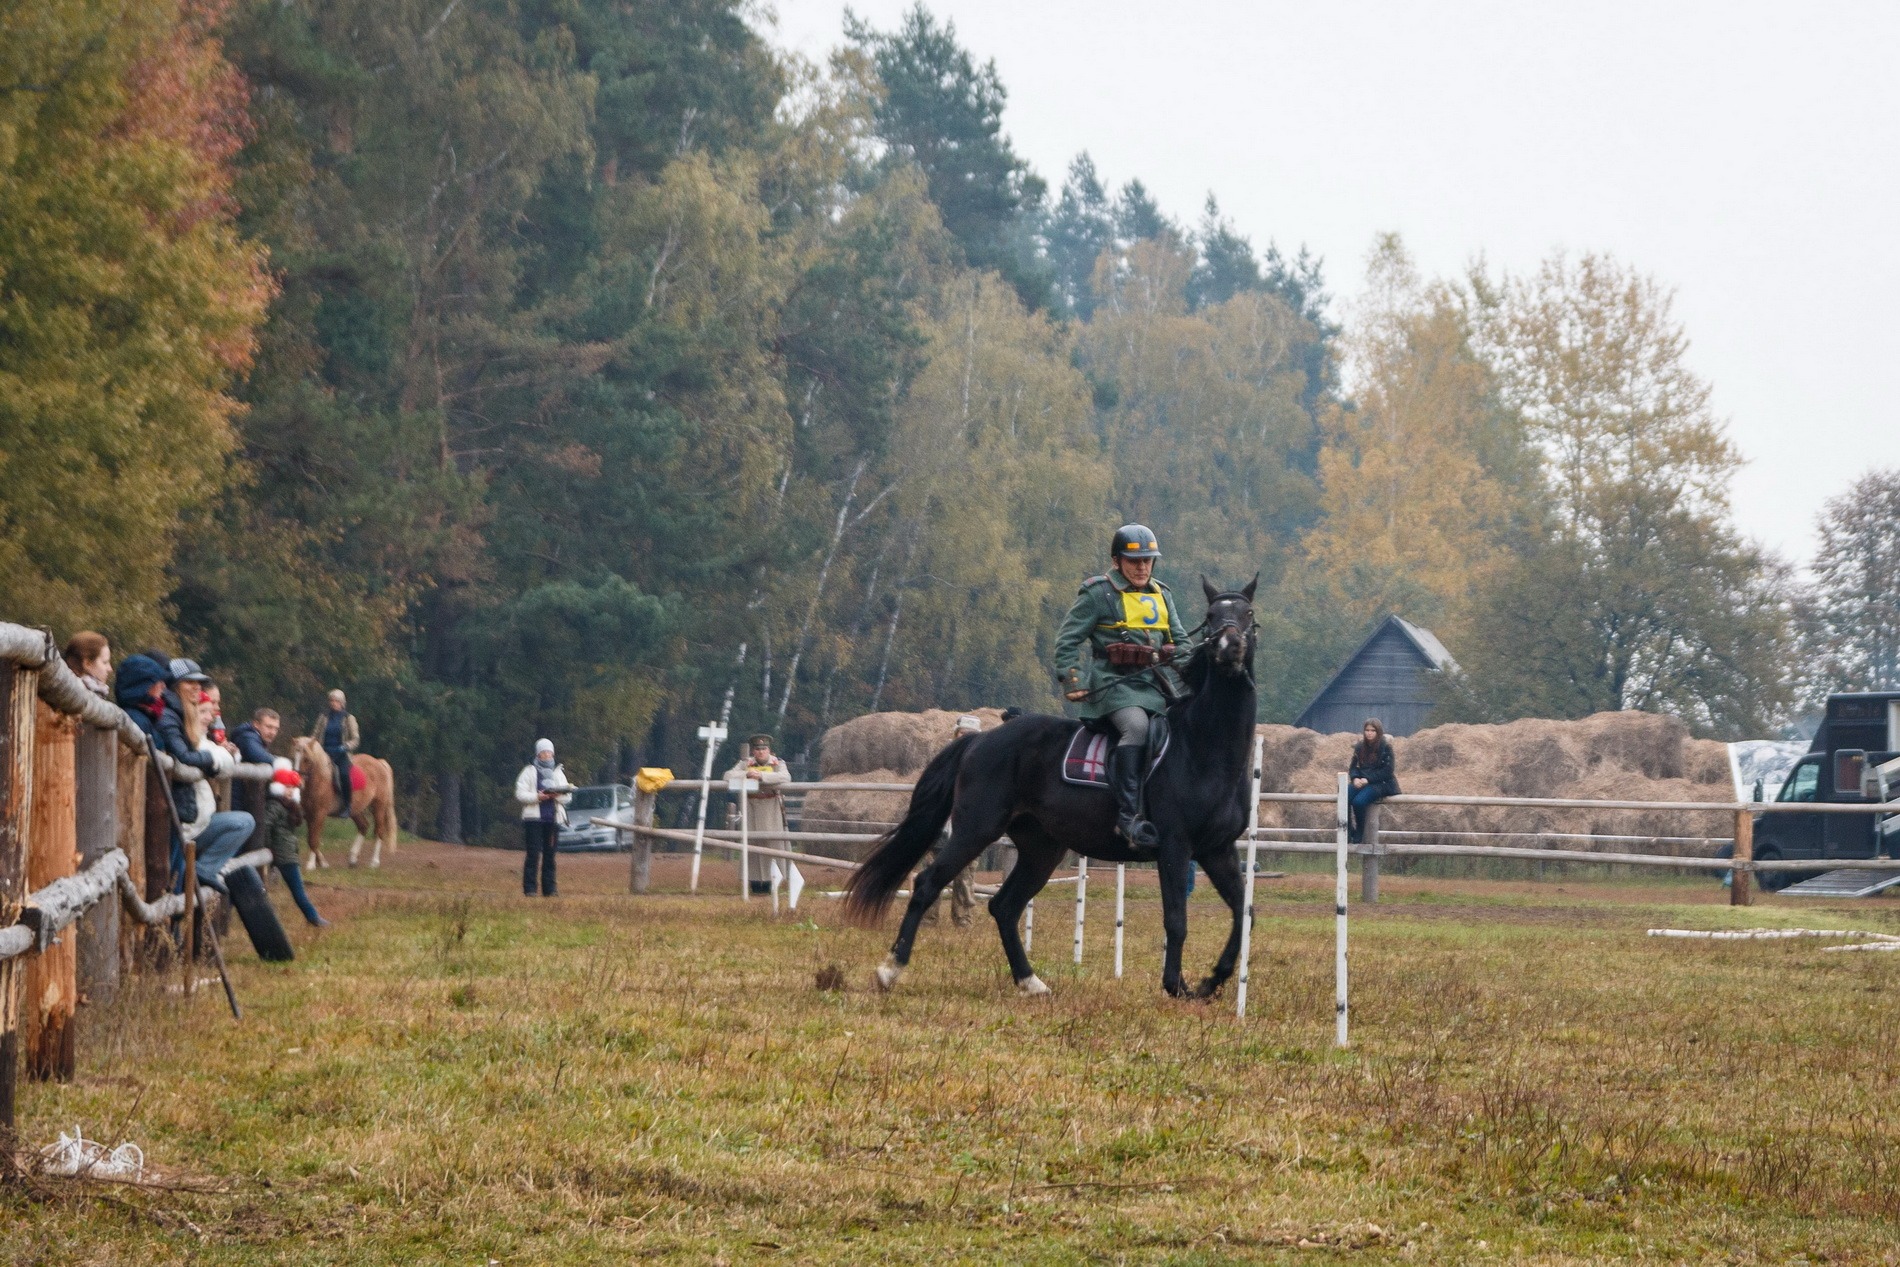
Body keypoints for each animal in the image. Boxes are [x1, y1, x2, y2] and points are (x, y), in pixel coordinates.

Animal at [290, 737, 399, 866]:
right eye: (293, 758)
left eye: (307, 759)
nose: (298, 783)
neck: (319, 780)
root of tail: (379, 762)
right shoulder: (308, 814)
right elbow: (310, 838)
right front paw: (322, 863)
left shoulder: (319, 814)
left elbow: (313, 839)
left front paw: (311, 864)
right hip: (355, 809)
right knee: (363, 826)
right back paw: (352, 858)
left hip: (378, 806)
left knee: (379, 831)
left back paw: (374, 862)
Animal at [847, 577, 1261, 1002]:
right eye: (1211, 615)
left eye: (1247, 613)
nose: (1230, 646)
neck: (1203, 747)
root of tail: (981, 740)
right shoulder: (1176, 848)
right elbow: (1177, 919)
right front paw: (1176, 984)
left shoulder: (1216, 850)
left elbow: (1244, 914)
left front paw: (1213, 980)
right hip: (975, 830)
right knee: (928, 884)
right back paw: (890, 969)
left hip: (1041, 848)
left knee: (1005, 906)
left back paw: (1030, 981)